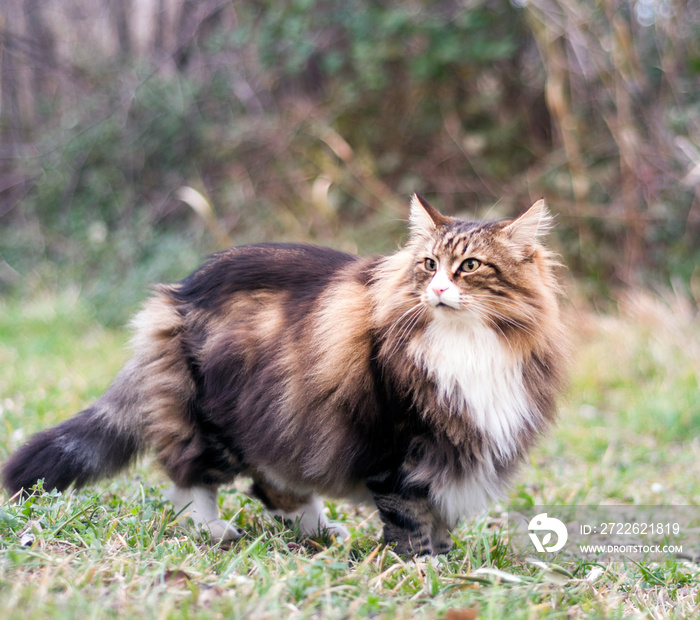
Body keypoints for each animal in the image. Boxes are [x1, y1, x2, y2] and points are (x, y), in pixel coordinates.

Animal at [2, 195, 568, 556]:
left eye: (469, 267)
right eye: (428, 264)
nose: (438, 291)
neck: (466, 345)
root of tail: (178, 293)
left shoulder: (452, 447)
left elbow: (440, 515)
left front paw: (446, 558)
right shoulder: (397, 445)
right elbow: (410, 518)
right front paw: (420, 568)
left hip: (280, 416)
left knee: (269, 482)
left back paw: (317, 530)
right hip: (218, 420)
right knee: (189, 475)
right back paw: (213, 530)